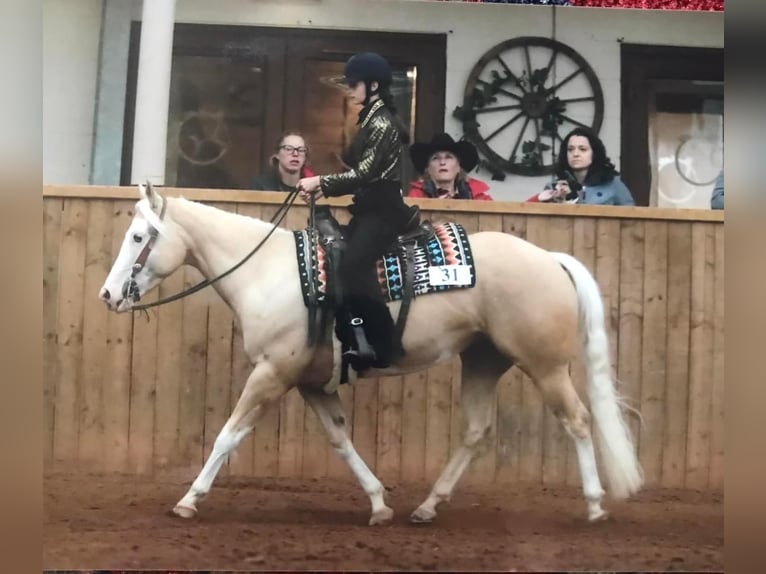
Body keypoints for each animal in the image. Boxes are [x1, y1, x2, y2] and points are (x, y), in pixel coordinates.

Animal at [99, 184, 644, 528]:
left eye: (138, 237)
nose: (108, 295)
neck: (270, 272)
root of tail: (550, 258)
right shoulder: (311, 383)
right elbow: (341, 441)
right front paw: (380, 504)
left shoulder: (272, 373)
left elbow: (228, 435)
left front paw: (188, 500)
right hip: (483, 360)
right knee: (476, 430)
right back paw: (427, 506)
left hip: (545, 365)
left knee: (577, 420)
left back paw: (595, 505)